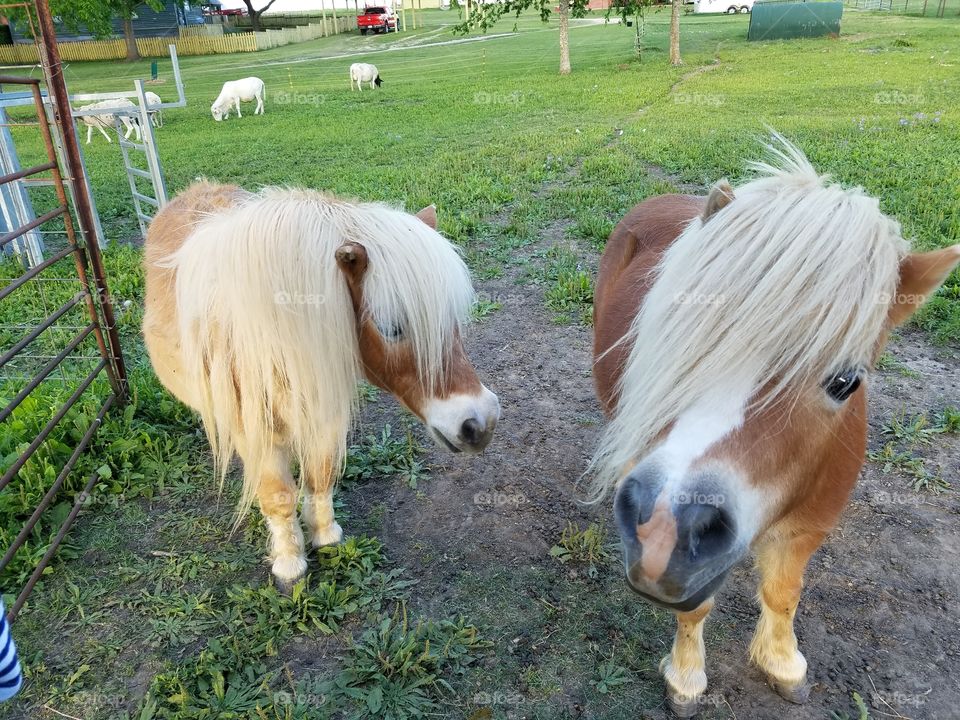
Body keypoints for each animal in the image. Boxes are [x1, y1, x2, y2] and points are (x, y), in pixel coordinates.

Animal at [143, 181, 500, 590]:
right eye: (391, 327)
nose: (481, 422)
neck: (276, 339)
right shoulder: (257, 433)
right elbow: (278, 496)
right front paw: (289, 563)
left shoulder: (324, 415)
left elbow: (321, 475)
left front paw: (326, 536)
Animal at [590, 136, 960, 716]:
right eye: (675, 339)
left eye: (846, 382)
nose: (664, 527)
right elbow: (696, 609)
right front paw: (687, 677)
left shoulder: (810, 526)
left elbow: (783, 594)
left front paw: (783, 663)